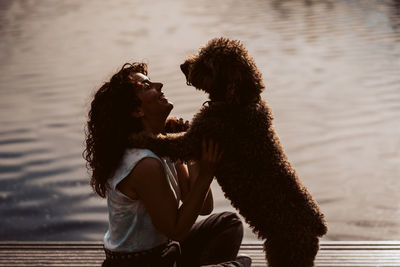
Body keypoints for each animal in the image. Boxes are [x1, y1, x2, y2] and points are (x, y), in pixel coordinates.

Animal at [130, 38, 326, 267]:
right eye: (202, 53)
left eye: (208, 64)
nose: (183, 66)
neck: (238, 103)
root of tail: (317, 225)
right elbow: (181, 127)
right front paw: (173, 121)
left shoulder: (193, 141)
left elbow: (166, 143)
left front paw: (139, 137)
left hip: (286, 252)